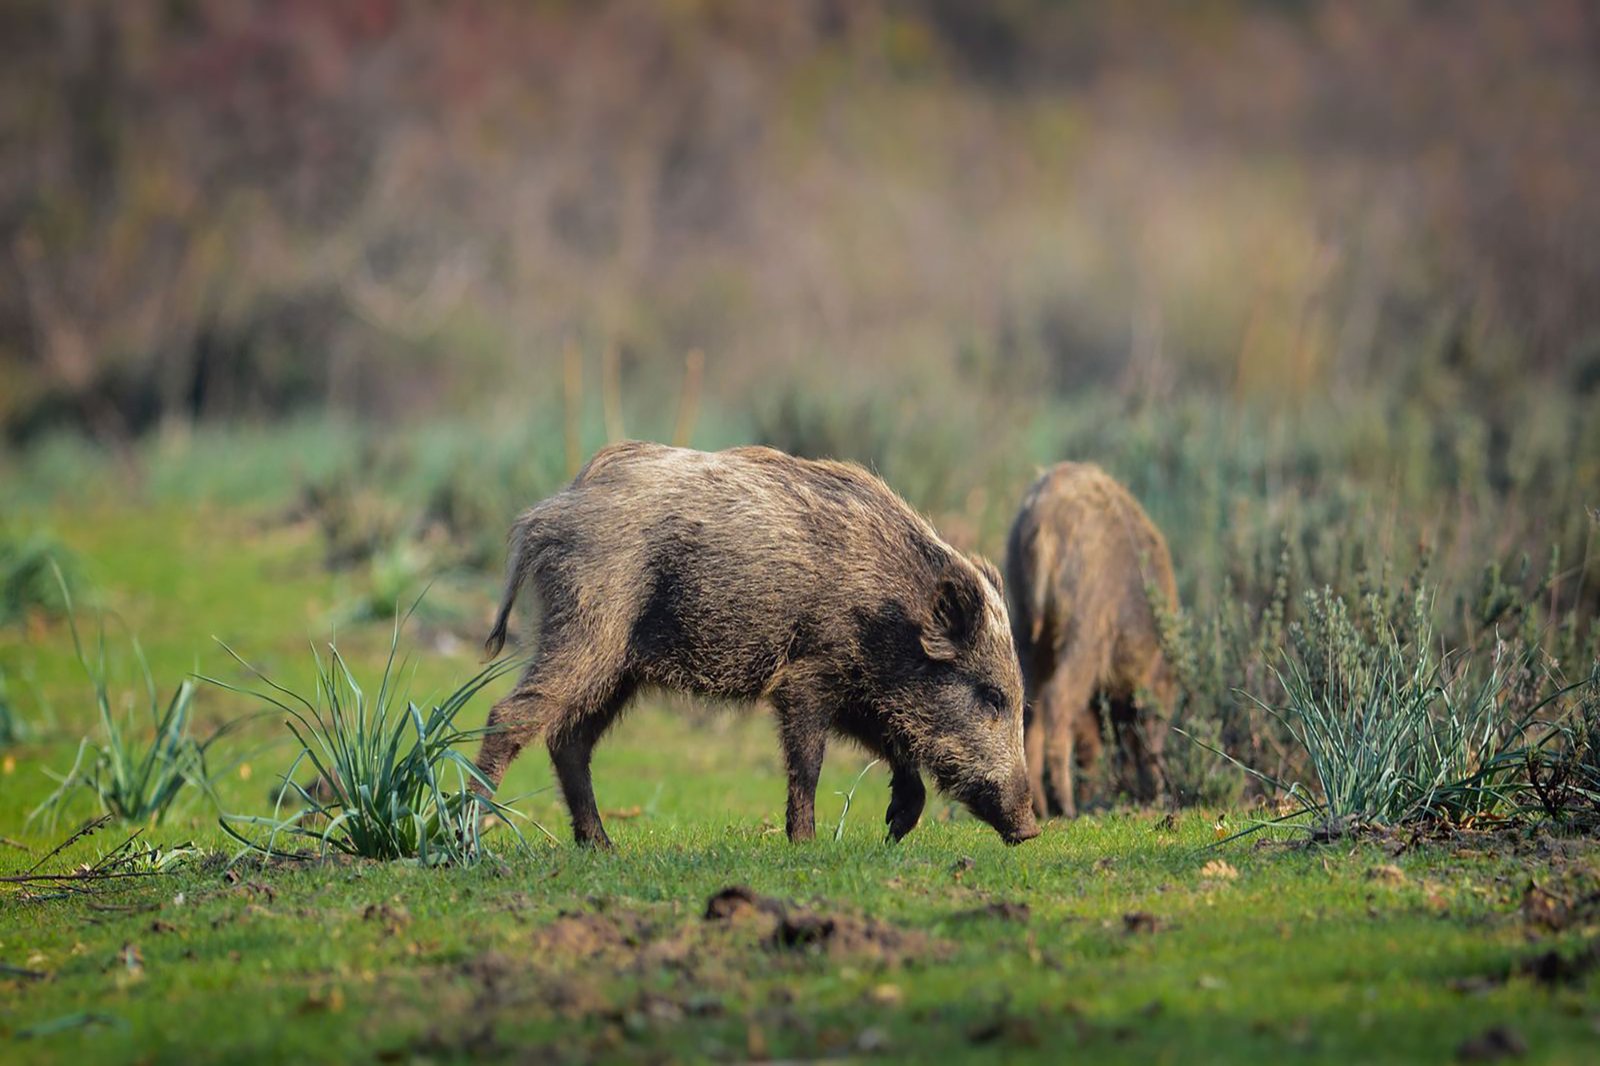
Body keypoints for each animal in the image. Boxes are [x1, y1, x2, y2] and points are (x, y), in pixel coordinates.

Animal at [475, 441, 1039, 848]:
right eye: (992, 696)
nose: (1031, 829)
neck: (891, 613)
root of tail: (543, 516)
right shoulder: (809, 675)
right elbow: (809, 761)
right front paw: (807, 844)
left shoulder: (858, 690)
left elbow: (895, 746)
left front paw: (895, 828)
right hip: (588, 630)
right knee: (510, 714)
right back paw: (473, 834)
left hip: (618, 669)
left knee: (568, 741)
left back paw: (603, 847)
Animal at [1004, 462, 1177, 818]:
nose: (1157, 794)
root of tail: (1043, 522)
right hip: (1086, 627)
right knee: (1059, 701)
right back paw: (1068, 806)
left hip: (1026, 626)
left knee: (1029, 701)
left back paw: (1044, 806)